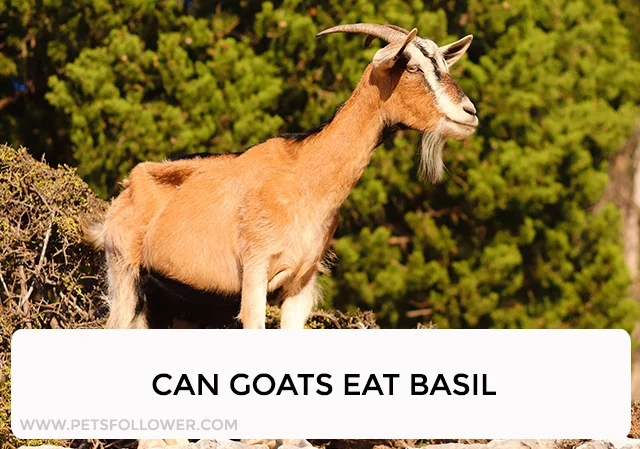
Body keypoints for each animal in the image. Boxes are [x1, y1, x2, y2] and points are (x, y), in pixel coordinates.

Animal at [87, 23, 478, 330]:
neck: (306, 179)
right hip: (124, 271)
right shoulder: (255, 269)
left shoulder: (301, 284)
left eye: (443, 64)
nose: (470, 112)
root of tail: (128, 189)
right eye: (410, 67)